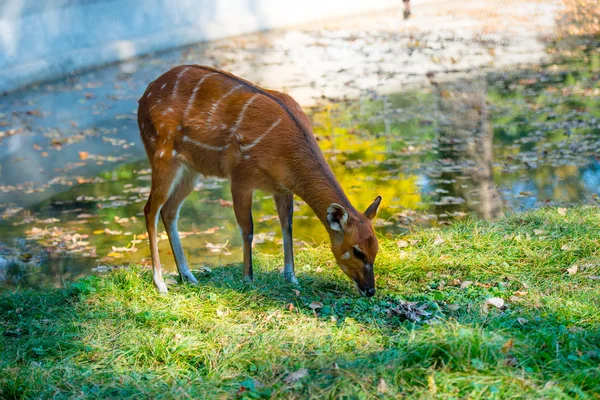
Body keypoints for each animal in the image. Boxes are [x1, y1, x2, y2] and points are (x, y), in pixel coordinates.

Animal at [138, 65, 382, 296]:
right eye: (357, 251)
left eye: (377, 248)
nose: (370, 290)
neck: (286, 151)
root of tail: (144, 95)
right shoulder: (240, 176)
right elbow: (248, 228)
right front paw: (248, 279)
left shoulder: (282, 187)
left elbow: (287, 225)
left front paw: (291, 277)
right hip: (162, 153)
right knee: (150, 208)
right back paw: (160, 282)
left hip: (191, 169)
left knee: (169, 210)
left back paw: (188, 275)